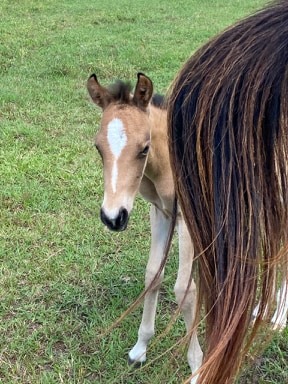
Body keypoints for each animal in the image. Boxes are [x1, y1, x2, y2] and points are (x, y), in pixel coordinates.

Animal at [87, 72, 202, 380]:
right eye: (98, 148)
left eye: (144, 149)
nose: (113, 217)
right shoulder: (160, 213)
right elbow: (153, 275)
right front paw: (140, 349)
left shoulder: (186, 220)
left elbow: (184, 290)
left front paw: (197, 367)